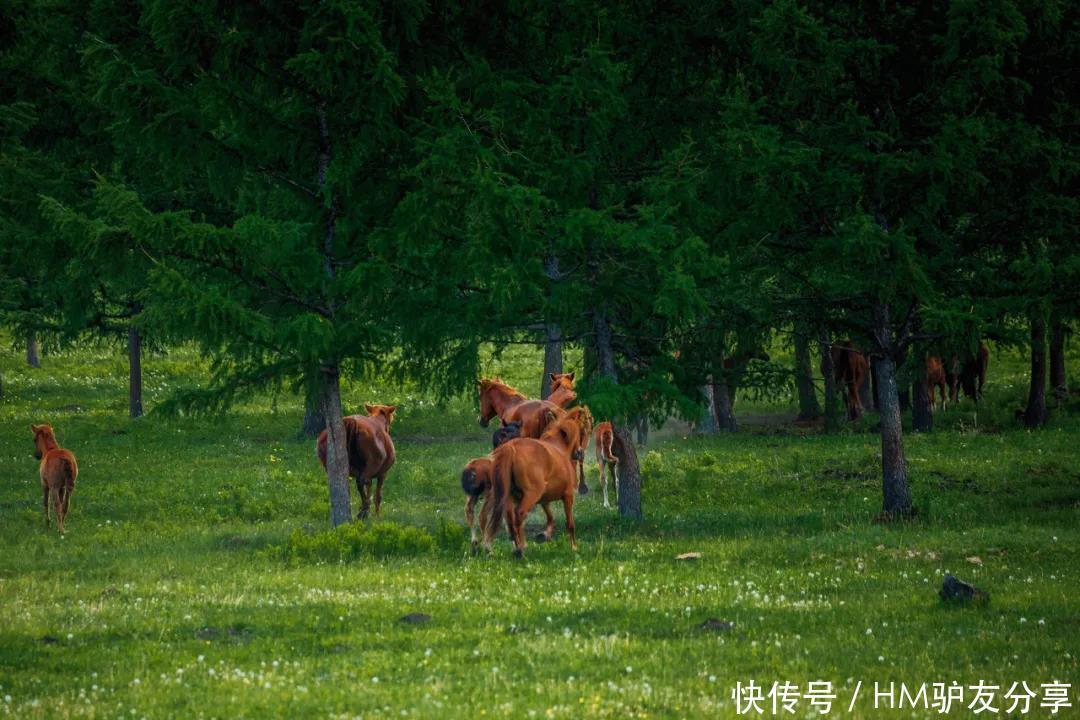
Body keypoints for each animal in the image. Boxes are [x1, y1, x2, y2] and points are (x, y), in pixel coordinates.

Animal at [490, 410, 591, 557]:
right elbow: (570, 523)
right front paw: (573, 547)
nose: (579, 453)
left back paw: (517, 546)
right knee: (519, 514)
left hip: (509, 498)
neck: (559, 450)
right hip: (530, 495)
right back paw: (520, 549)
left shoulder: (544, 499)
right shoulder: (568, 496)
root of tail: (511, 449)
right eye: (580, 432)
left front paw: (544, 535)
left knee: (510, 520)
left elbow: (550, 517)